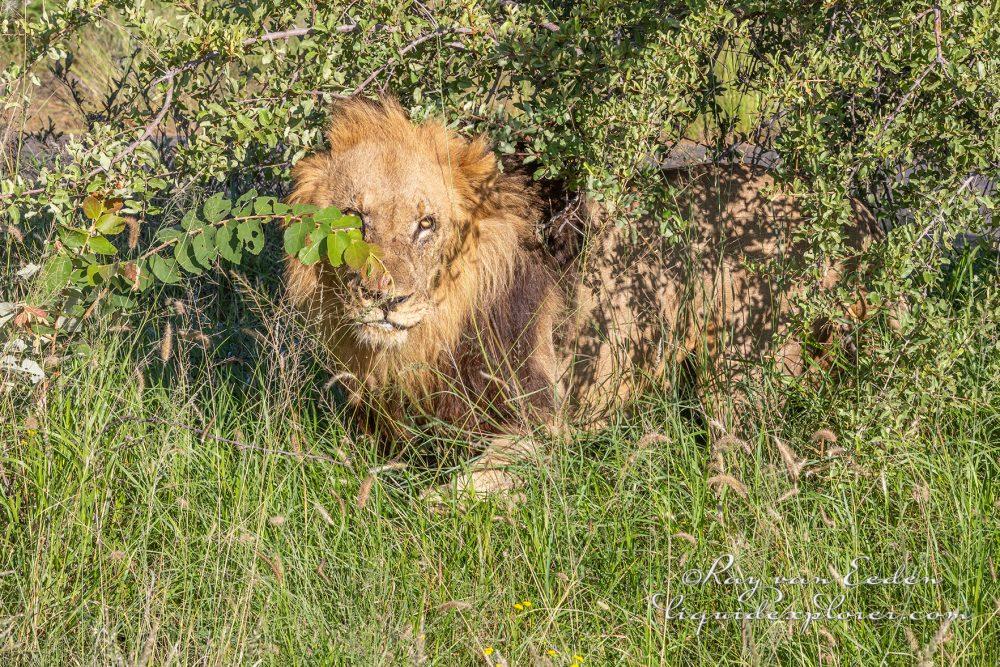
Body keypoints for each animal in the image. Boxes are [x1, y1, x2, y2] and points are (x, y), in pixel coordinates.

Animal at [284, 99, 876, 496]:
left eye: (425, 224)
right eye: (353, 218)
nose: (385, 299)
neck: (429, 338)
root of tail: (854, 218)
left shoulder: (538, 422)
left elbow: (459, 493)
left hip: (737, 369)